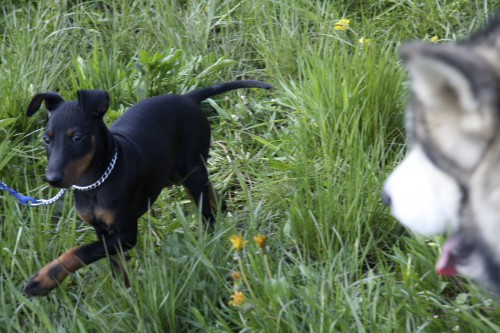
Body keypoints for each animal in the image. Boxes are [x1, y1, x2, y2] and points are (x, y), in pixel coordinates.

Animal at [23, 80, 272, 296]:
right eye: (46, 139)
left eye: (77, 137)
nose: (52, 179)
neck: (95, 182)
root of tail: (188, 98)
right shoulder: (102, 231)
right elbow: (115, 266)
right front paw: (128, 296)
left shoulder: (126, 234)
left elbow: (80, 251)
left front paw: (43, 279)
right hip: (177, 174)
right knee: (214, 197)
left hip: (192, 172)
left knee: (207, 213)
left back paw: (212, 242)